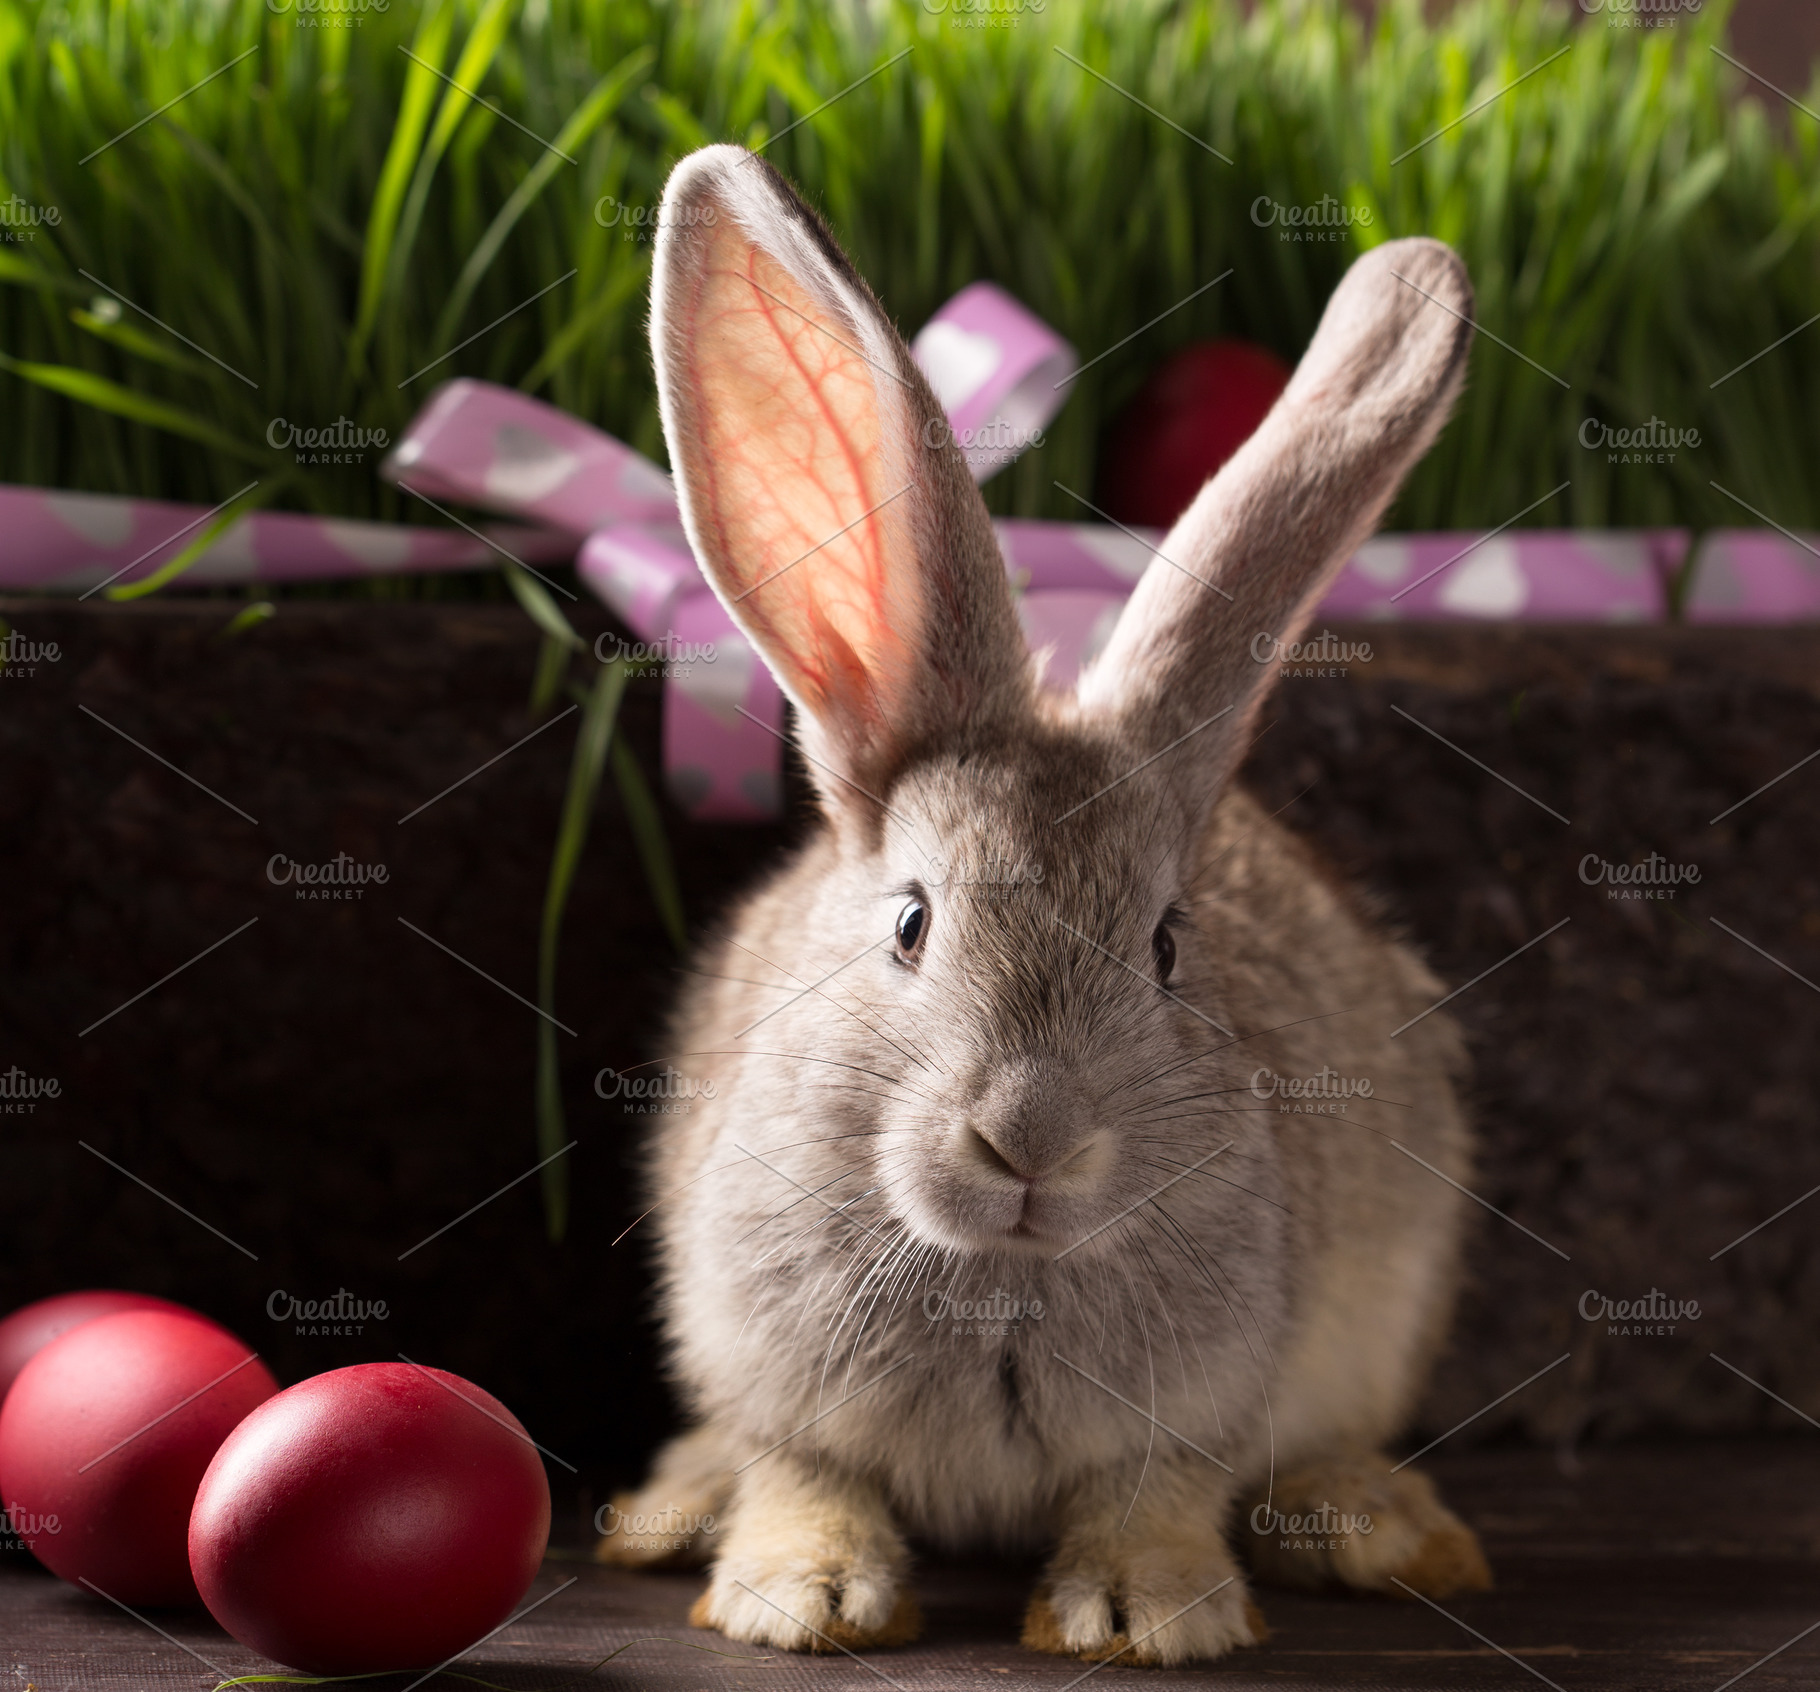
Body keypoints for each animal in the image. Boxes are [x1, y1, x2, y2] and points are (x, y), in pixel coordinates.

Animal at [596, 141, 1490, 1668]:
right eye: (910, 923)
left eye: (1167, 947)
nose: (1032, 1137)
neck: (997, 1267)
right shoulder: (764, 1370)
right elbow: (802, 1472)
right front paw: (802, 1601)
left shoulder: (1197, 1409)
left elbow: (1153, 1495)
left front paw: (1147, 1617)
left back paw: (1381, 1529)